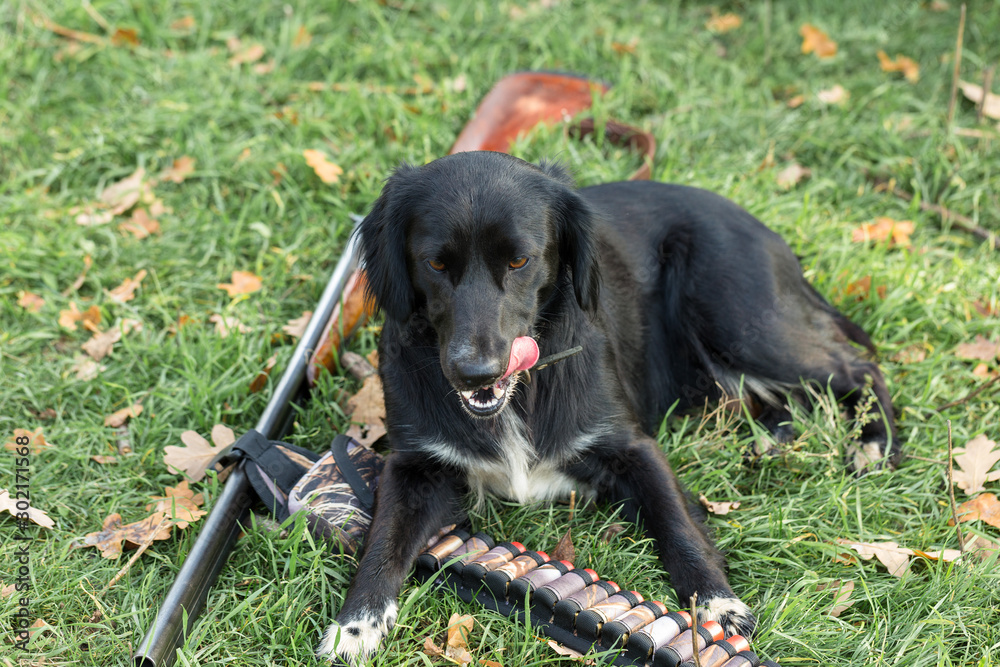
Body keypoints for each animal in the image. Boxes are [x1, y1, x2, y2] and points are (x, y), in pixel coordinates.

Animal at [314, 153, 900, 664]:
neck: (523, 391)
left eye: (520, 260)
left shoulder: (632, 446)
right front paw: (355, 627)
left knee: (857, 368)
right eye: (435, 262)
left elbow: (677, 525)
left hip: (741, 319)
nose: (475, 372)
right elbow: (383, 542)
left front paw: (716, 605)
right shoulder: (414, 465)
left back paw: (875, 445)